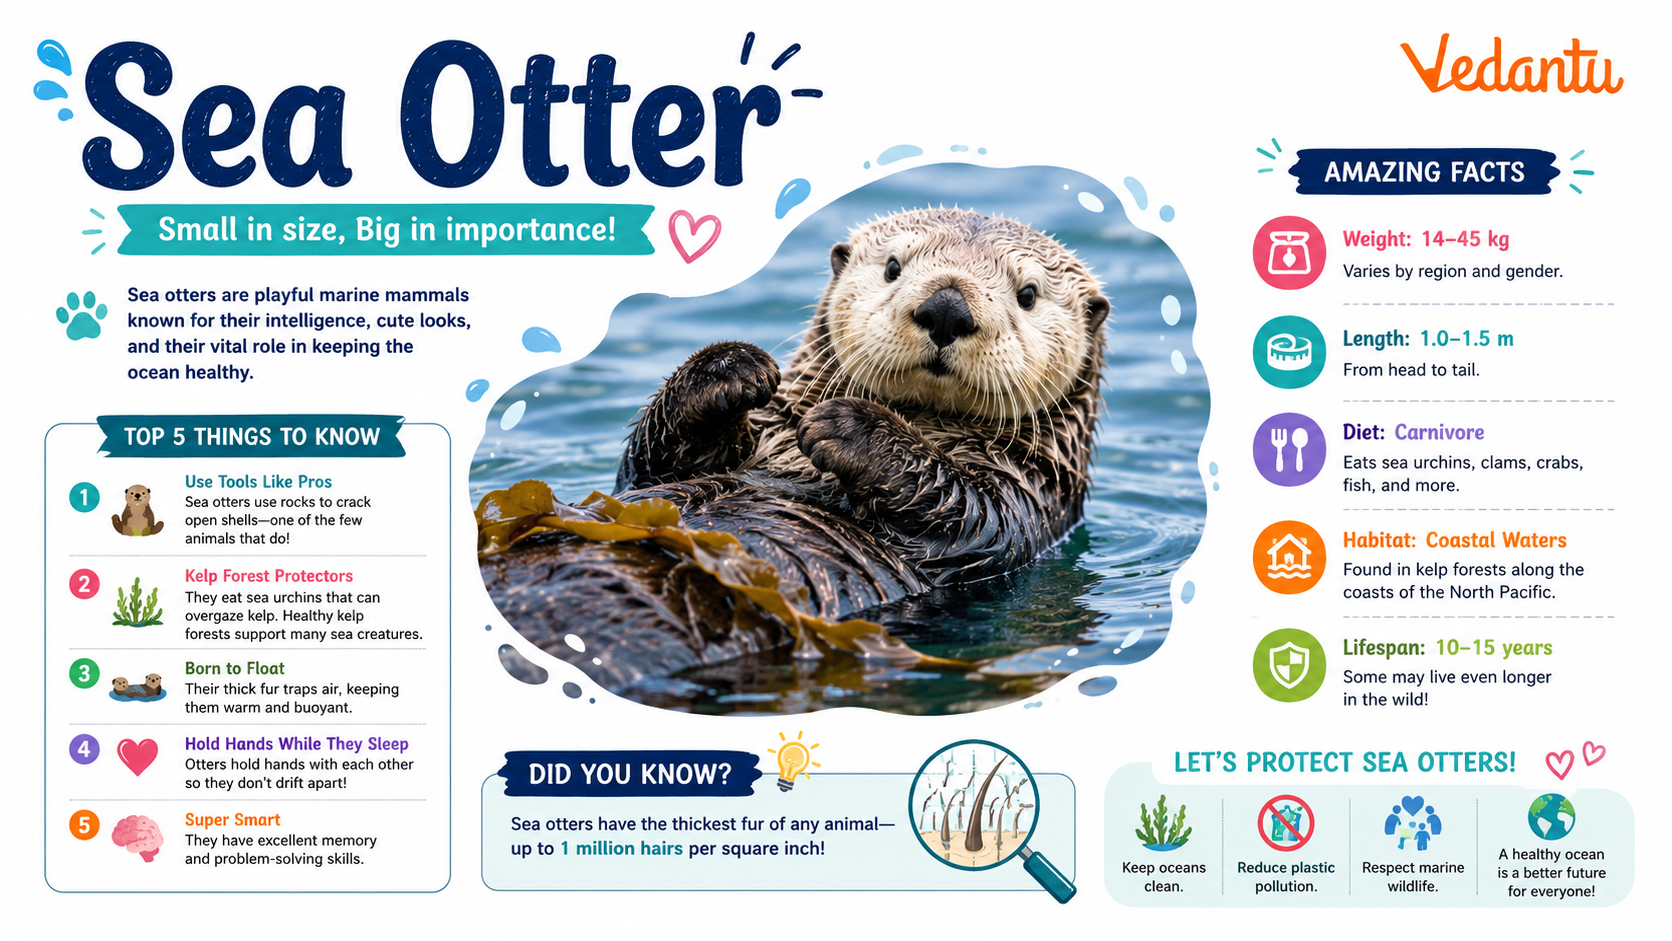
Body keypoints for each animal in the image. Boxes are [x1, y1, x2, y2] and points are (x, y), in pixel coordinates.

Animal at [482, 208, 1110, 690]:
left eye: (1027, 294)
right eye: (892, 267)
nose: (947, 308)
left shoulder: (1029, 497)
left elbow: (972, 513)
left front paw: (847, 425)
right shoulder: (693, 456)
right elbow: (647, 466)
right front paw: (733, 368)